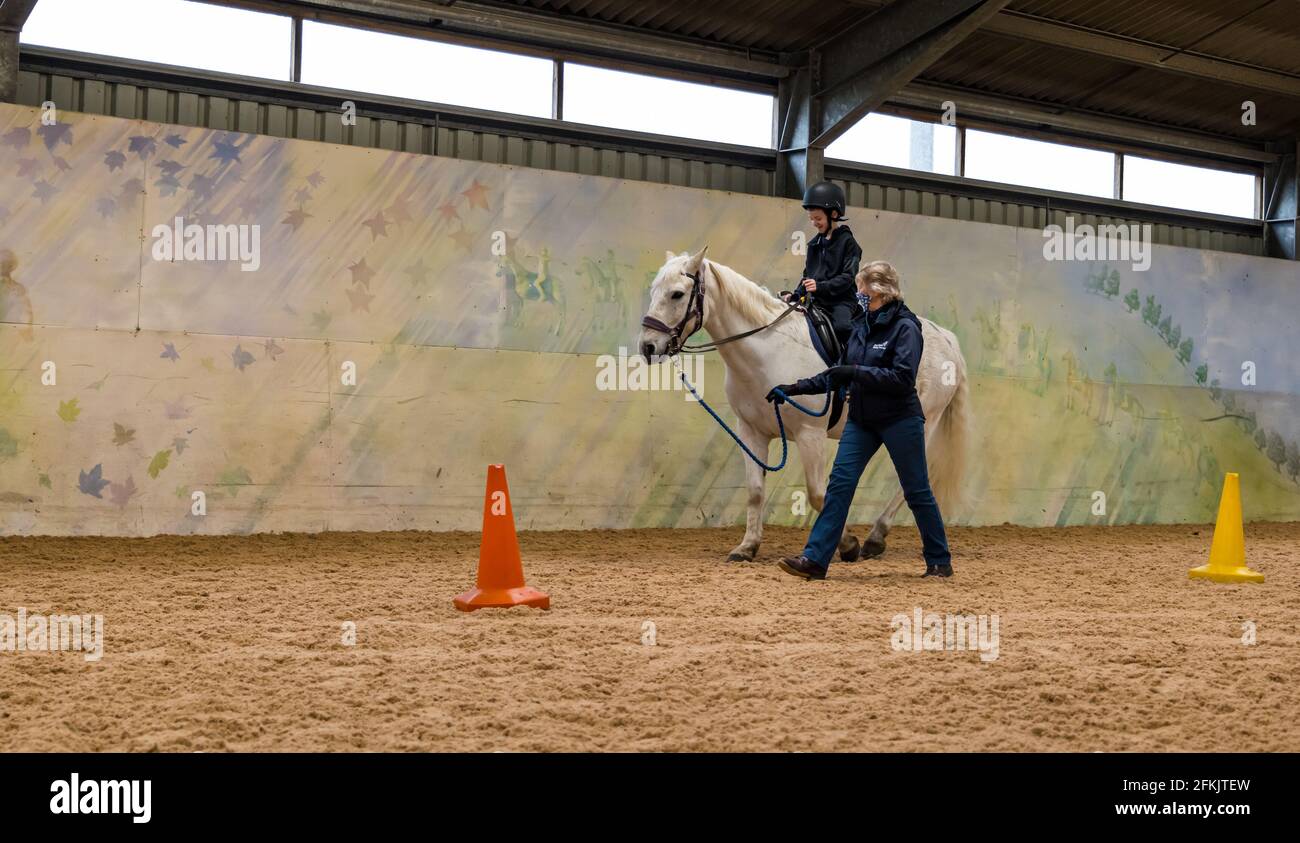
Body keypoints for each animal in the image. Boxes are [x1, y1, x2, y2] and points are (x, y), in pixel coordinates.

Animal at [634, 249, 972, 567]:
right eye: (654, 289)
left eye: (677, 294)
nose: (648, 347)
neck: (767, 350)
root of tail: (945, 339)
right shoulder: (751, 432)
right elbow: (755, 491)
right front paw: (747, 547)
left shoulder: (811, 434)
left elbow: (817, 493)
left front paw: (847, 544)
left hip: (919, 425)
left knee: (910, 481)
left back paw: (875, 538)